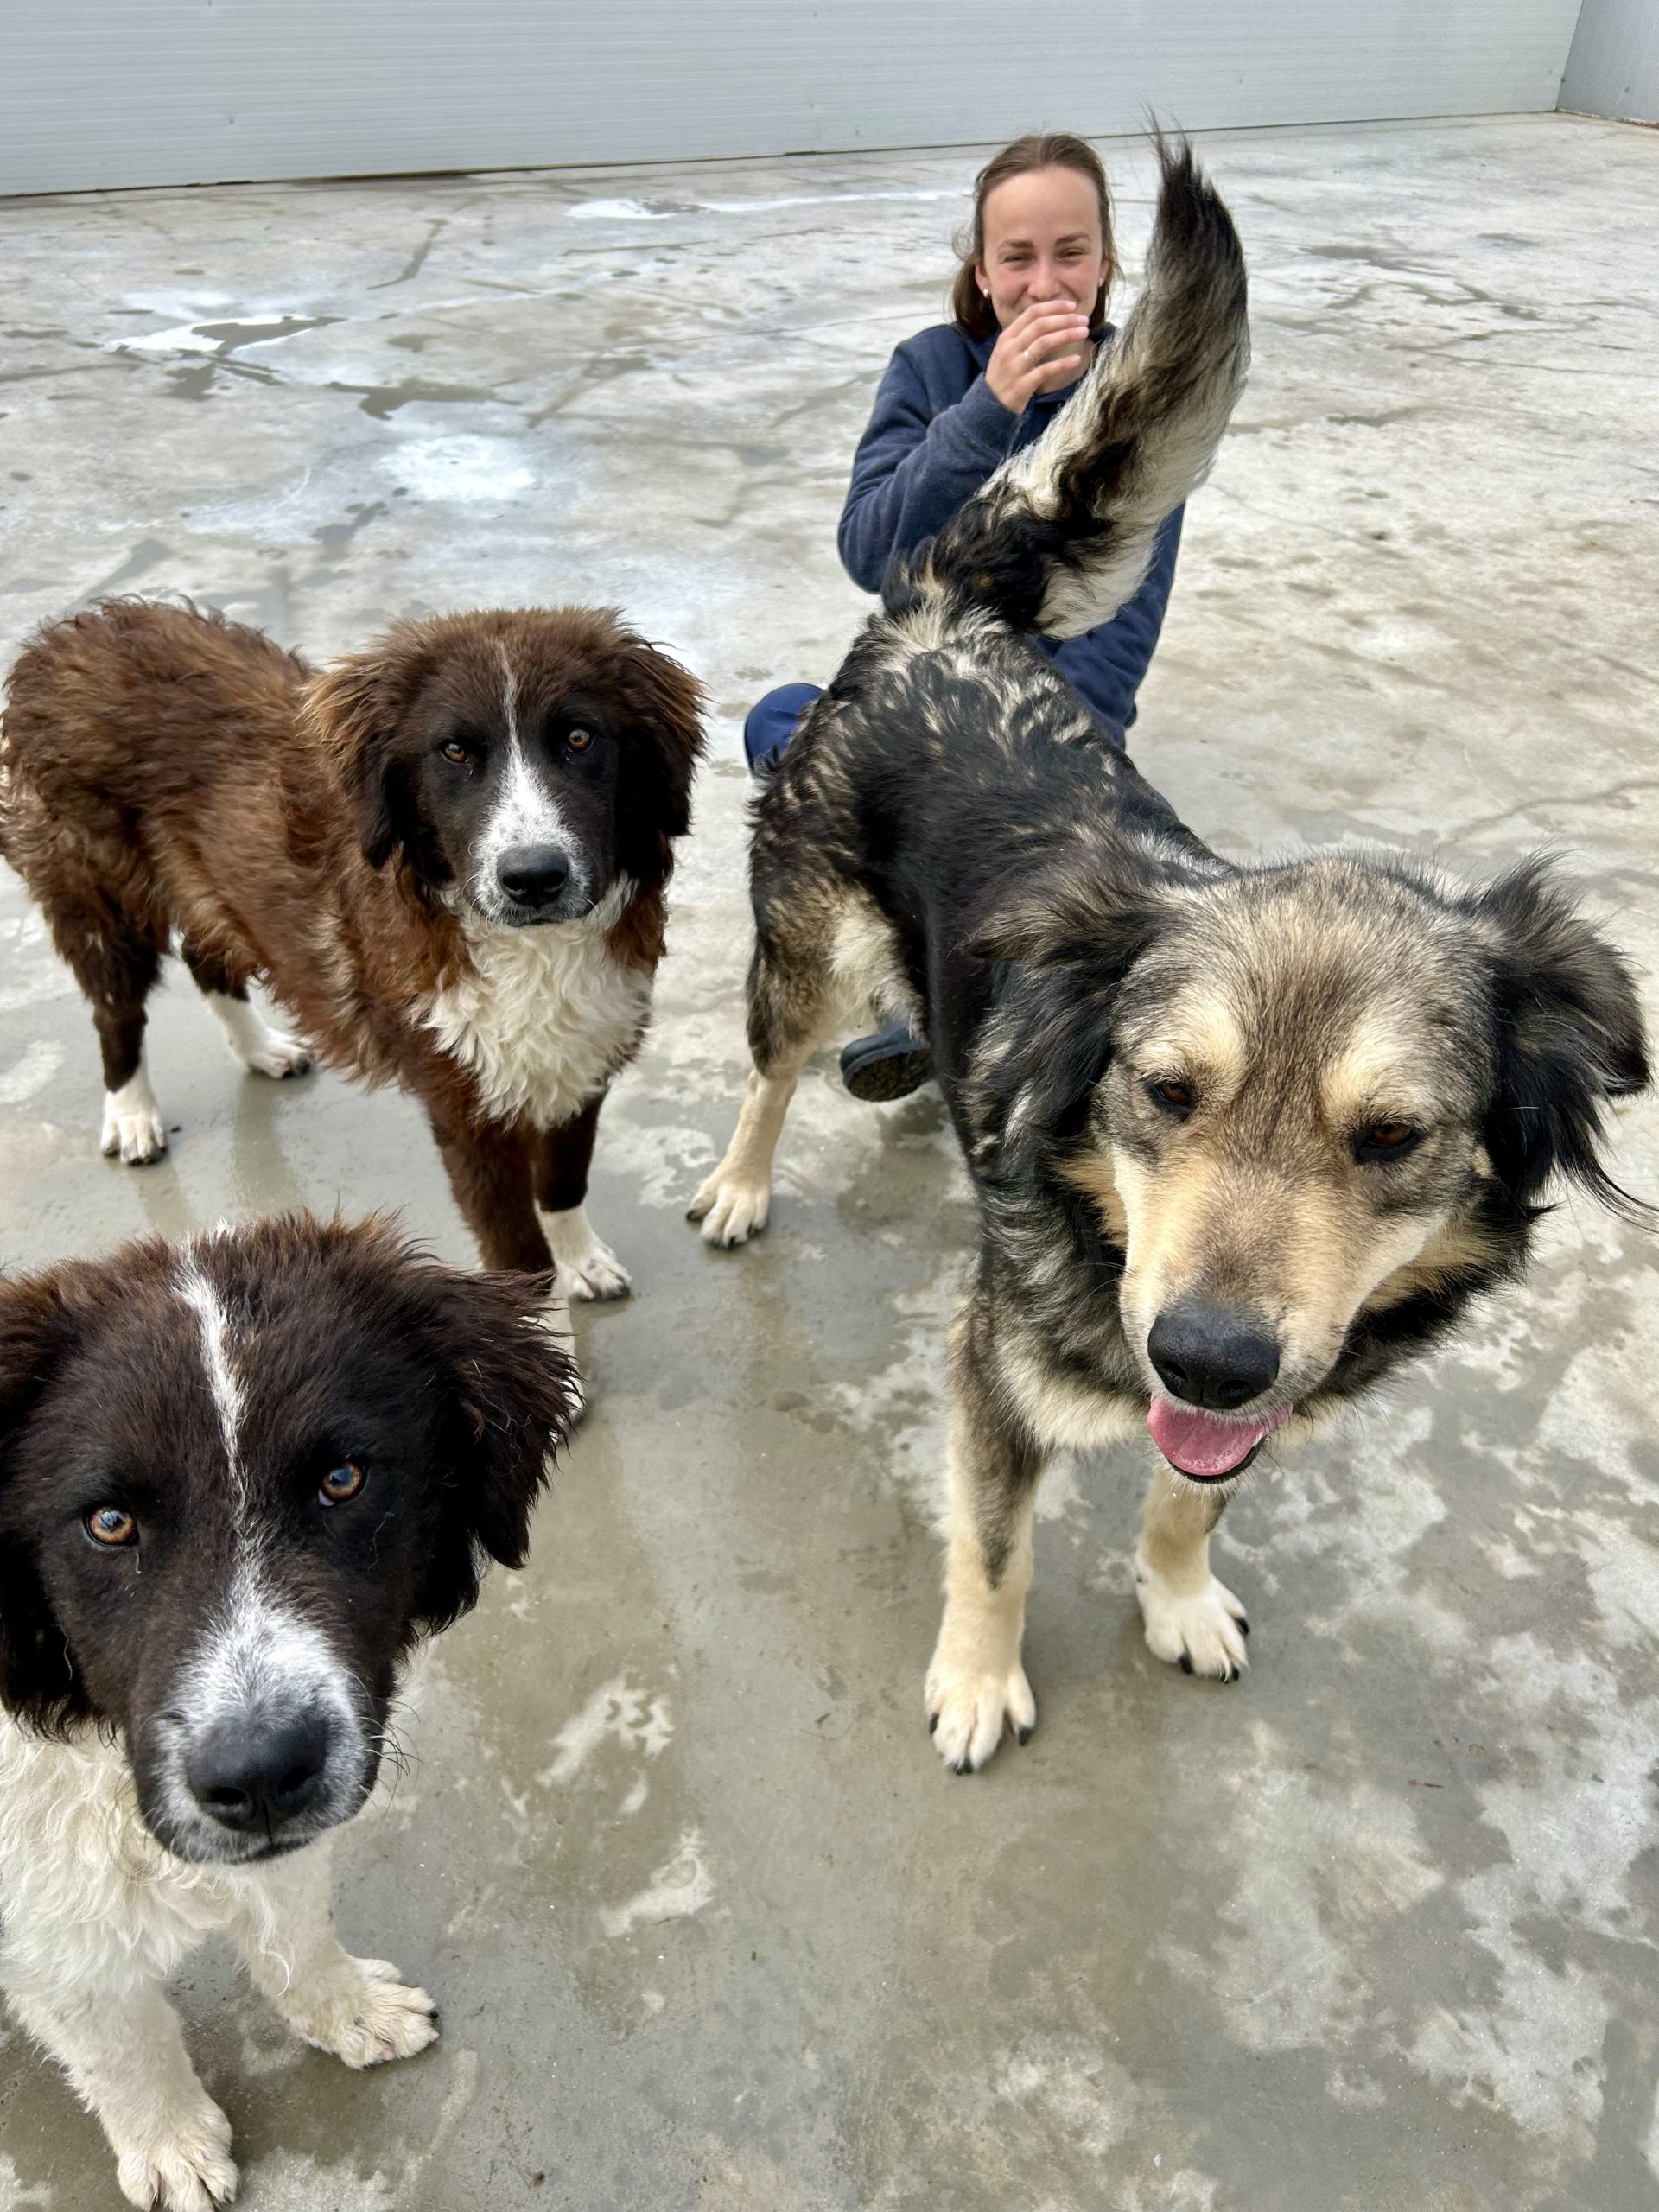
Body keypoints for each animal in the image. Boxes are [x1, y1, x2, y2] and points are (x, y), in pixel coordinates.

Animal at [0, 598, 704, 1385]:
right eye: (454, 752)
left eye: (580, 738)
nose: (533, 878)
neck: (532, 949)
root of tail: (69, 631)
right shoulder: (466, 1112)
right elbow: (520, 1257)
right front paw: (554, 1363)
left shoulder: (581, 1067)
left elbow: (563, 1183)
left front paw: (581, 1259)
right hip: (101, 899)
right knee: (116, 1011)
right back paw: (131, 1115)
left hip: (210, 886)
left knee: (210, 959)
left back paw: (262, 1050)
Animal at [0, 1212, 575, 2211]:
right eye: (109, 1522)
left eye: (342, 1478)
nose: (260, 1774)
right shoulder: (48, 1924)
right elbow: (120, 2043)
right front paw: (170, 2142)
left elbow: (297, 1922)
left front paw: (345, 2009)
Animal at [688, 142, 1651, 1771]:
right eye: (1165, 1093)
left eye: (1392, 1139)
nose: (1201, 1357)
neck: (1097, 1215)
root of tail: (942, 618)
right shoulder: (996, 1374)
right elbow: (995, 1551)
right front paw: (977, 1684)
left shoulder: (1261, 1394)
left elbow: (1191, 1501)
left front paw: (1178, 1599)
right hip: (801, 943)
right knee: (771, 1068)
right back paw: (744, 1186)